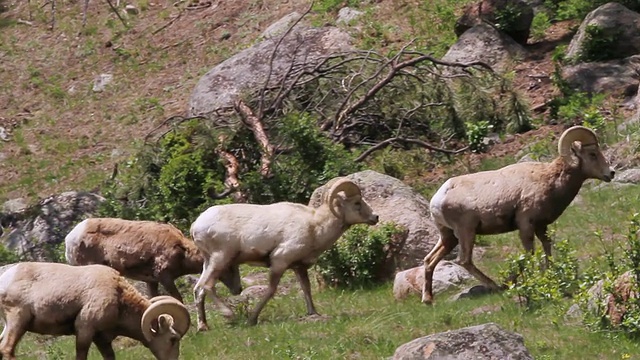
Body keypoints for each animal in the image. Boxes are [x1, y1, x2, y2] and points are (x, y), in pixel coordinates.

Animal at [0, 262, 190, 360]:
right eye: (173, 339)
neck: (118, 296)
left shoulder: (102, 339)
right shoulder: (85, 330)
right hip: (18, 320)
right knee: (7, 349)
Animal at [65, 218, 242, 302]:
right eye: (229, 268)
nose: (238, 289)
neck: (181, 251)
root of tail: (69, 240)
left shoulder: (152, 281)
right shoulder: (164, 276)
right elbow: (178, 299)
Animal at [190, 177, 380, 330]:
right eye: (357, 203)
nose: (375, 217)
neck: (315, 226)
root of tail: (196, 226)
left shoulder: (299, 267)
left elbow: (306, 288)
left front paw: (313, 313)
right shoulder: (279, 262)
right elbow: (271, 291)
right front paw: (252, 320)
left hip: (209, 262)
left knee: (198, 289)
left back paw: (203, 327)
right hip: (221, 259)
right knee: (207, 286)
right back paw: (229, 314)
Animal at [422, 126, 612, 304]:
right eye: (592, 154)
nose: (611, 173)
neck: (550, 180)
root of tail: (437, 200)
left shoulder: (541, 226)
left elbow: (547, 246)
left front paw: (550, 272)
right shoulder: (526, 224)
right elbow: (529, 254)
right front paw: (514, 282)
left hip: (449, 237)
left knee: (429, 260)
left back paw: (428, 300)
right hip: (466, 232)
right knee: (464, 261)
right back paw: (496, 287)